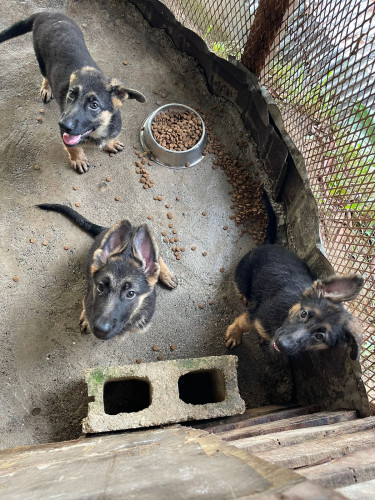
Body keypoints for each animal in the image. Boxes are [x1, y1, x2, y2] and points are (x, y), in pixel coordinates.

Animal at [0, 12, 146, 173]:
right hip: (41, 60)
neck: (97, 132)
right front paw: (78, 159)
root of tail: (47, 13)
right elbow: (73, 147)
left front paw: (110, 143)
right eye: (71, 95)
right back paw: (46, 89)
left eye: (94, 105)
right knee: (46, 75)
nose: (62, 125)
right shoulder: (66, 136)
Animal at [38, 203, 179, 340]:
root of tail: (106, 228)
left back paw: (167, 275)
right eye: (100, 287)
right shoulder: (90, 296)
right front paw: (86, 318)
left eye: (131, 293)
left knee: (157, 257)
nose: (100, 330)